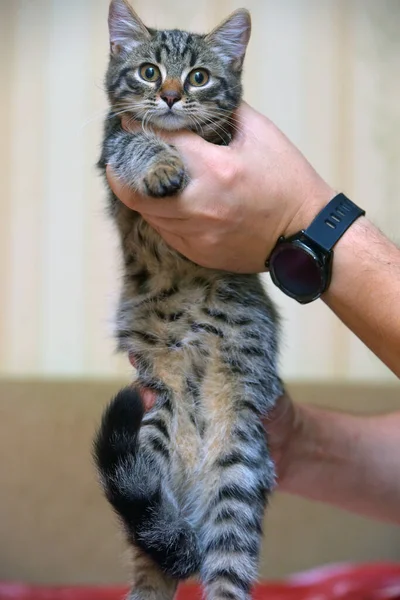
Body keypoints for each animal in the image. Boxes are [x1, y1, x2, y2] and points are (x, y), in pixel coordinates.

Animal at [94, 1, 282, 600]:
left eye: (198, 76)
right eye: (149, 71)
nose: (173, 95)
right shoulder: (113, 146)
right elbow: (140, 142)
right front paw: (162, 163)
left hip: (238, 479)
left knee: (223, 571)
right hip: (148, 441)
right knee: (155, 553)